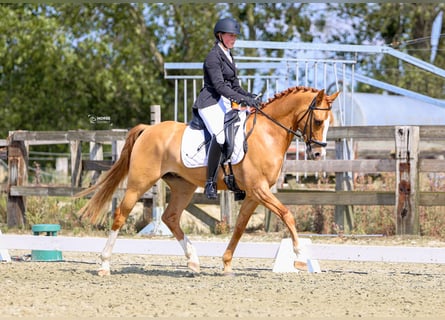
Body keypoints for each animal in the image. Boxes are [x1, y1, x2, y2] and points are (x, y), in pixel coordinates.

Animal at [77, 86, 340, 276]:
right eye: (318, 121)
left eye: (330, 123)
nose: (318, 154)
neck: (267, 134)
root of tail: (148, 129)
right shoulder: (259, 189)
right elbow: (287, 215)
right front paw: (299, 258)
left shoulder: (254, 194)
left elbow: (240, 227)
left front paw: (226, 264)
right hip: (139, 183)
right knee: (120, 214)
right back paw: (104, 265)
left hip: (184, 186)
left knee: (170, 217)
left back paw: (193, 262)